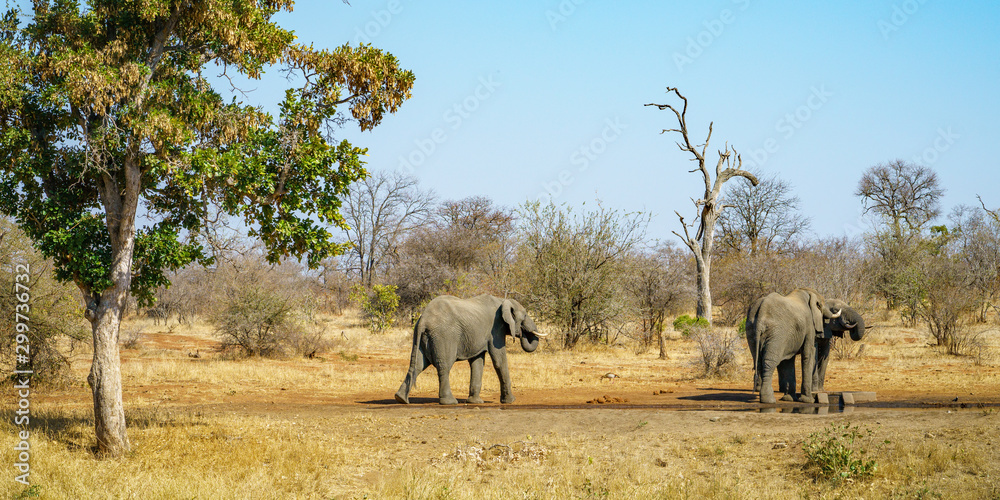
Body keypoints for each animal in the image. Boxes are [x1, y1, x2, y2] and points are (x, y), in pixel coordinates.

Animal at [394, 294, 545, 405]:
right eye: (525, 316)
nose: (522, 332)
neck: (503, 300)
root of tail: (424, 319)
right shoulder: (496, 329)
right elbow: (499, 360)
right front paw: (510, 401)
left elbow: (477, 362)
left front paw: (475, 402)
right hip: (444, 336)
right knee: (444, 366)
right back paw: (450, 402)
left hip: (420, 337)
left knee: (417, 365)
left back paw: (400, 399)